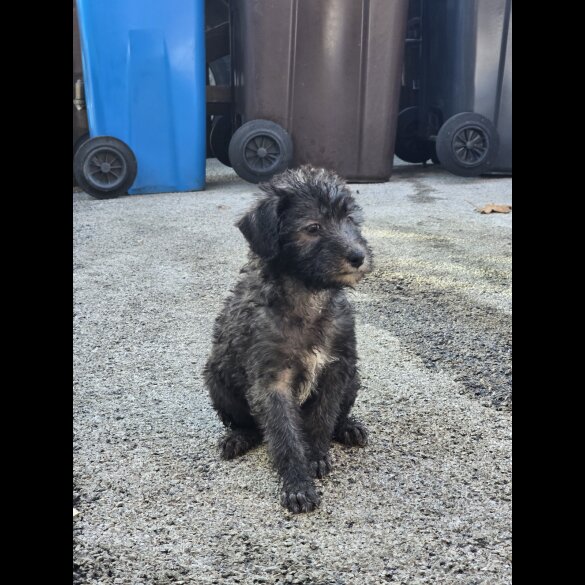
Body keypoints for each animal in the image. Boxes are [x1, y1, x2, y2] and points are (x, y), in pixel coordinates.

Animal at [203, 164, 372, 512]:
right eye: (313, 227)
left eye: (350, 220)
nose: (358, 256)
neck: (307, 296)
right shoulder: (272, 383)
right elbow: (283, 436)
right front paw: (296, 482)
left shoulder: (337, 368)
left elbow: (323, 417)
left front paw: (317, 455)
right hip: (216, 378)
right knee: (249, 425)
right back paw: (238, 438)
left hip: (354, 378)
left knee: (339, 415)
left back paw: (348, 427)